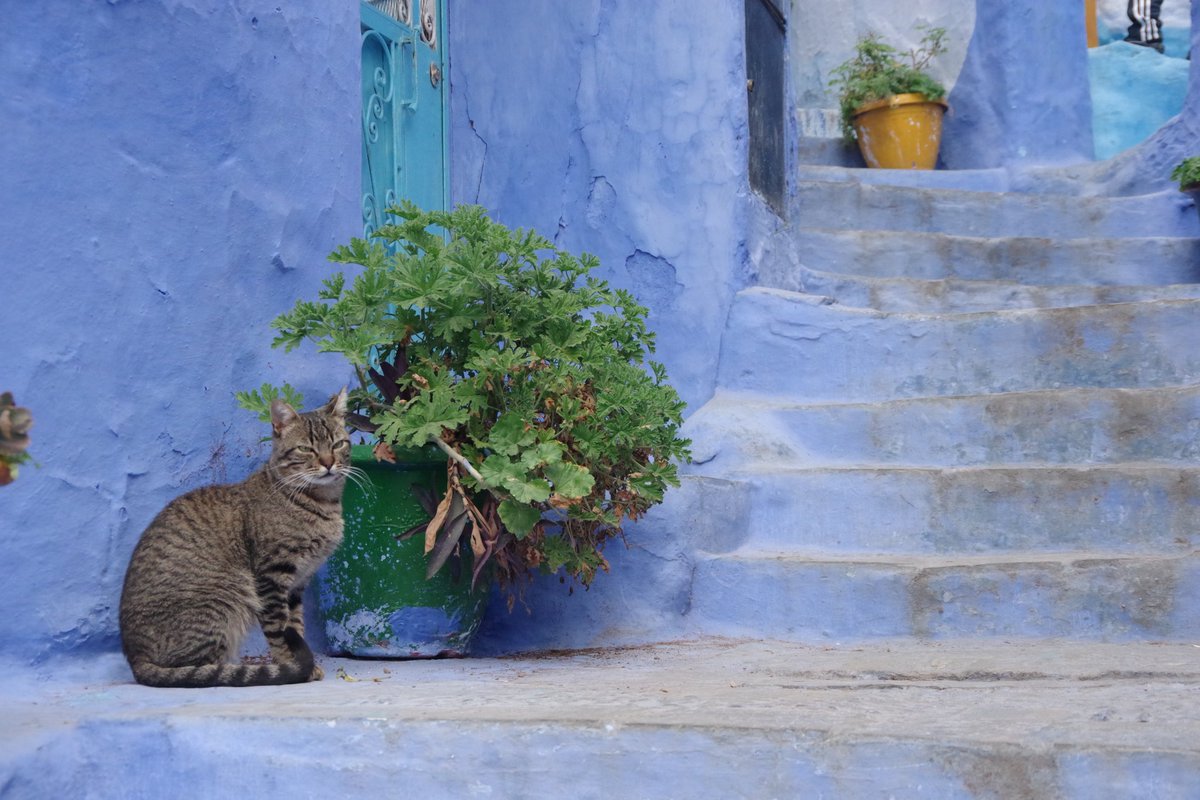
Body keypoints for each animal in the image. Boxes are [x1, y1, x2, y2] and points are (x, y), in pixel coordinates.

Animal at [118, 388, 350, 690]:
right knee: (199, 670)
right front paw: (293, 667)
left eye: (338, 444)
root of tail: (135, 659)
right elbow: (279, 629)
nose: (328, 463)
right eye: (305, 449)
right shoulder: (272, 576)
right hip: (226, 597)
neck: (321, 503)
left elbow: (296, 625)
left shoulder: (298, 583)